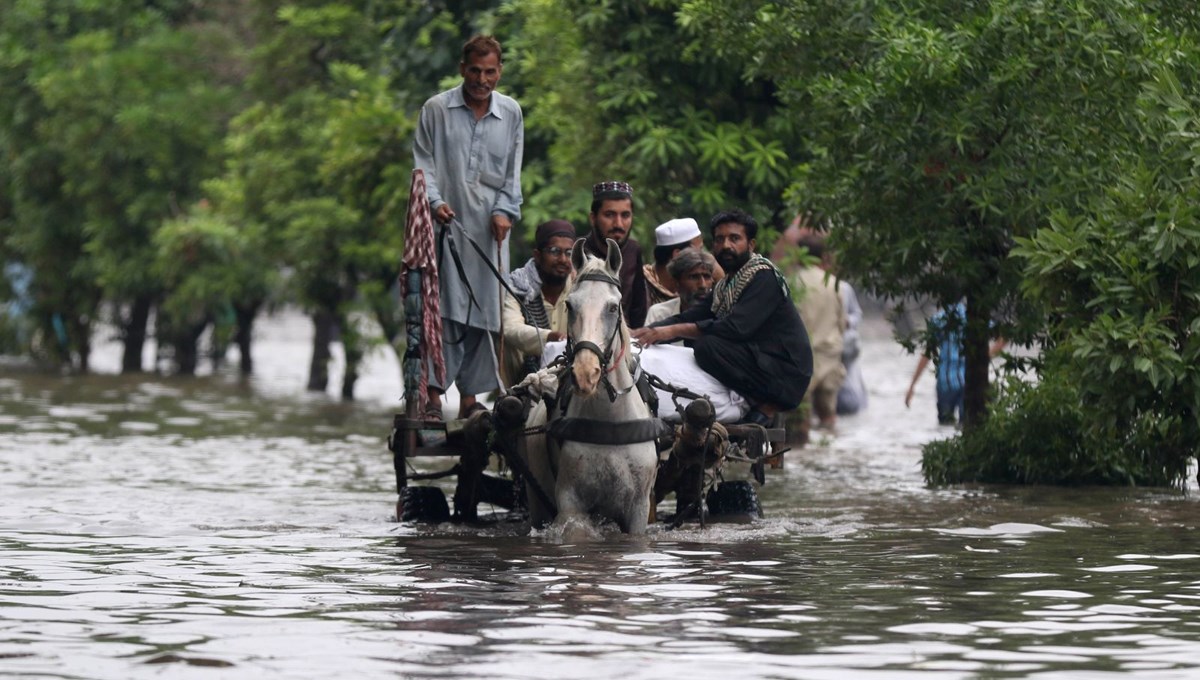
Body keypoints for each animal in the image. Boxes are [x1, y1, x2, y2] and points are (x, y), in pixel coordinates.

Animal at [518, 236, 662, 534]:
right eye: (570, 305)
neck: (611, 424)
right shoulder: (571, 504)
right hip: (536, 498)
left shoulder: (639, 509)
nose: (586, 373)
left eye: (613, 306)